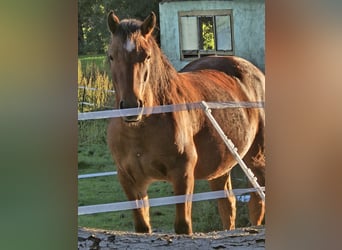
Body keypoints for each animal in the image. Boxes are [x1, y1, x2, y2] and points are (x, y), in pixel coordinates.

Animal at [106, 11, 264, 234]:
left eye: (146, 56)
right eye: (112, 56)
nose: (131, 105)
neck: (140, 130)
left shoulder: (182, 175)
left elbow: (183, 226)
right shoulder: (130, 180)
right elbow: (142, 228)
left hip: (256, 158)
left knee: (257, 202)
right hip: (222, 166)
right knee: (228, 205)